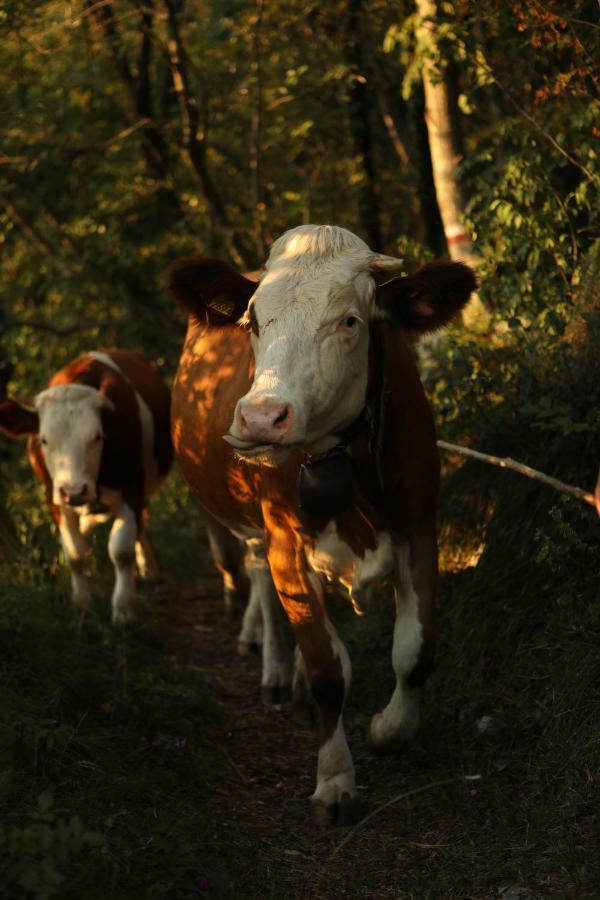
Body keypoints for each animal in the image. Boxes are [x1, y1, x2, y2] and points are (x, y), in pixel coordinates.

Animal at [0, 348, 173, 624]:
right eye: (44, 440)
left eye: (97, 436)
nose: (74, 491)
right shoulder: (53, 498)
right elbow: (75, 554)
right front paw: (81, 603)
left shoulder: (132, 489)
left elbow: (121, 550)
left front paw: (123, 609)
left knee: (140, 525)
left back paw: (147, 568)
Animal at [170, 225, 478, 824]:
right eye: (253, 322)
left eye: (350, 321)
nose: (261, 418)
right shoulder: (285, 544)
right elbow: (327, 670)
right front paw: (335, 782)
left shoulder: (419, 526)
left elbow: (414, 651)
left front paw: (389, 729)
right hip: (253, 529)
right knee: (261, 584)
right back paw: (274, 672)